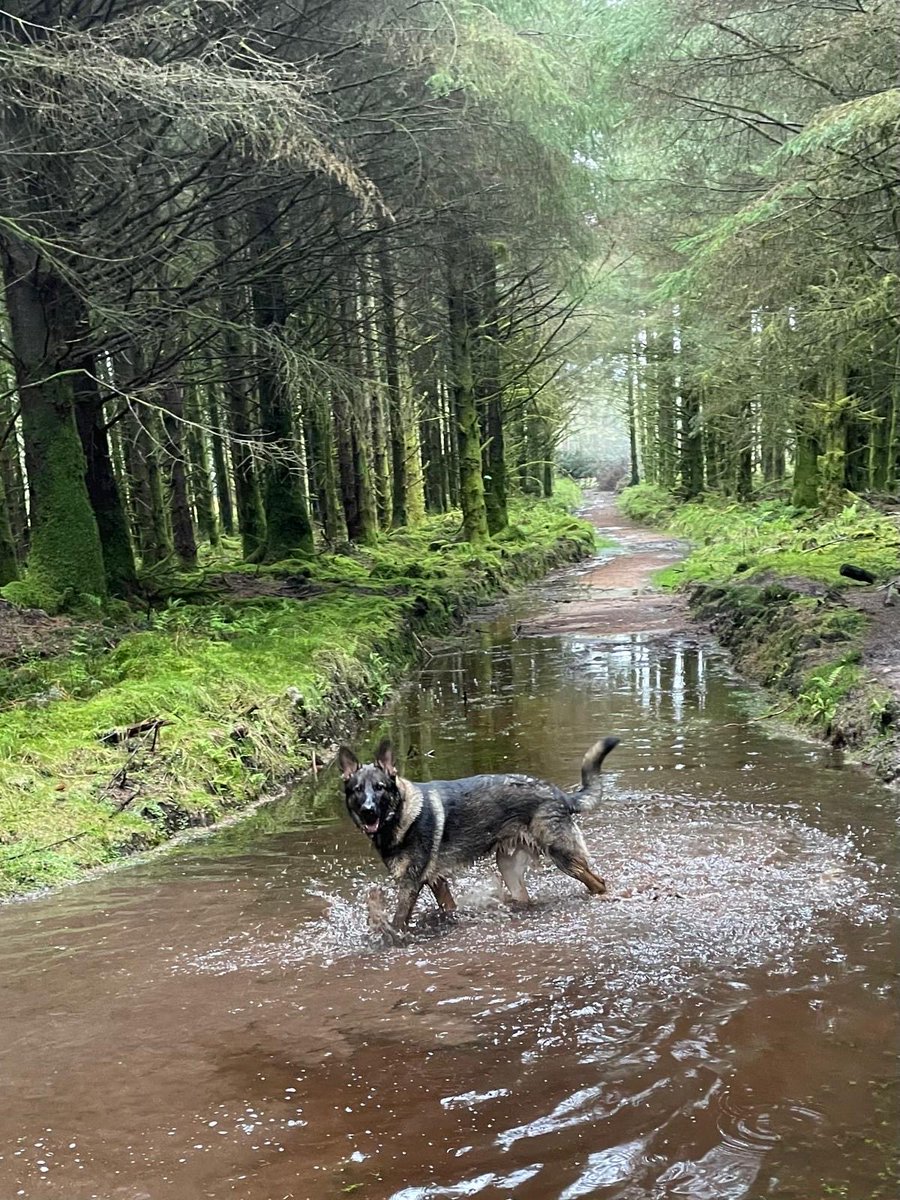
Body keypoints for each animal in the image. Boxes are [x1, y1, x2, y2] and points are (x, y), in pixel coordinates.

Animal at [338, 734, 619, 940]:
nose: (368, 811)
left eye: (379, 788)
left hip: (564, 858)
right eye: (357, 790)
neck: (400, 815)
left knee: (599, 882)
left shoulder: (410, 885)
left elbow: (398, 922)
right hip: (509, 869)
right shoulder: (437, 881)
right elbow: (448, 907)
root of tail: (558, 793)